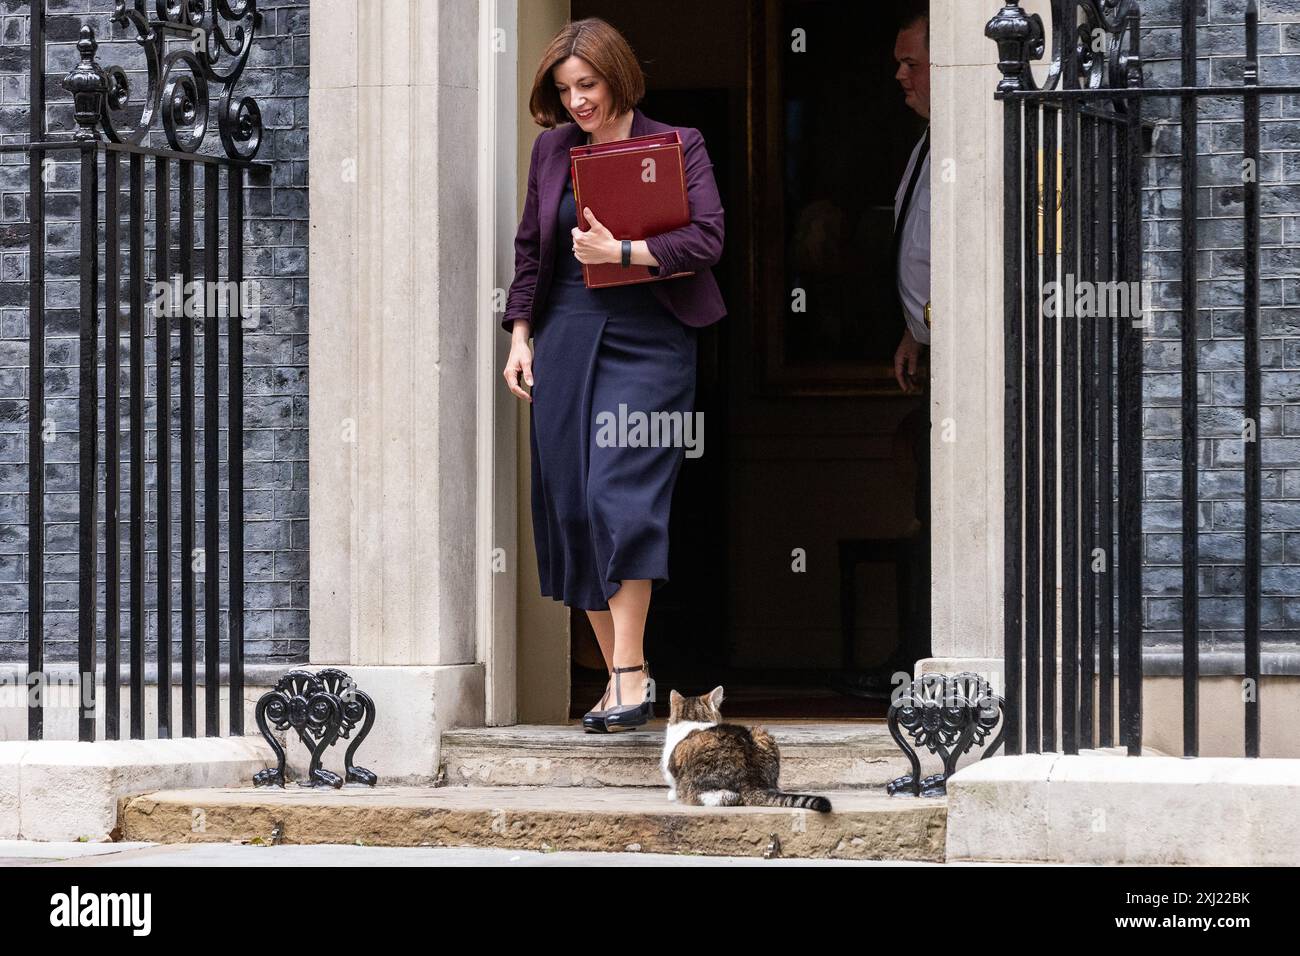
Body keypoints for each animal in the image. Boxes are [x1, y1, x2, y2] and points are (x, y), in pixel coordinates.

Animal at [660, 686, 832, 811]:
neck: (694, 721)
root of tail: (752, 781)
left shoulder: (672, 769)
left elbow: (673, 784)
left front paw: (672, 794)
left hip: (699, 785)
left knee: (725, 798)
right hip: (762, 734)